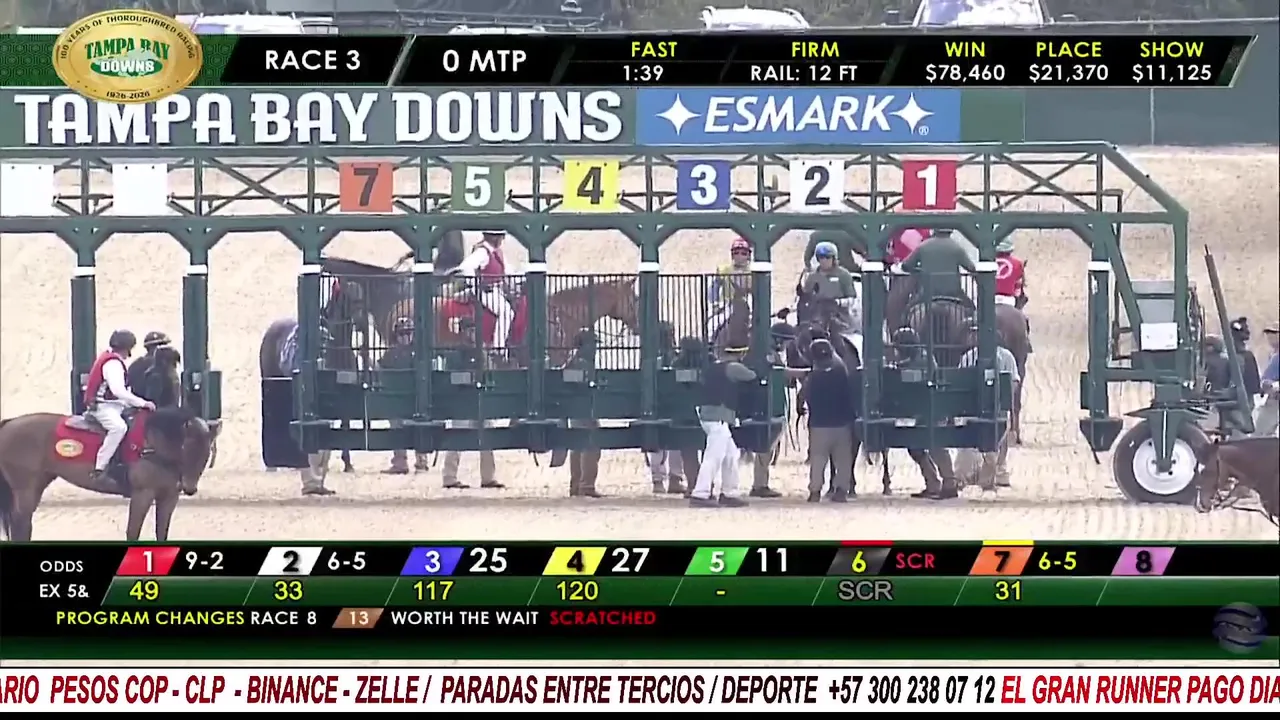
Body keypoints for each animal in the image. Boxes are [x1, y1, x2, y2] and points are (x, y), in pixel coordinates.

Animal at [0, 406, 218, 541]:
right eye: (187, 448)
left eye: (206, 453)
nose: (189, 488)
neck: (152, 444)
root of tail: (9, 423)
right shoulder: (143, 494)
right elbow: (133, 531)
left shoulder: (169, 497)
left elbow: (161, 532)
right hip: (25, 489)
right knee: (20, 523)